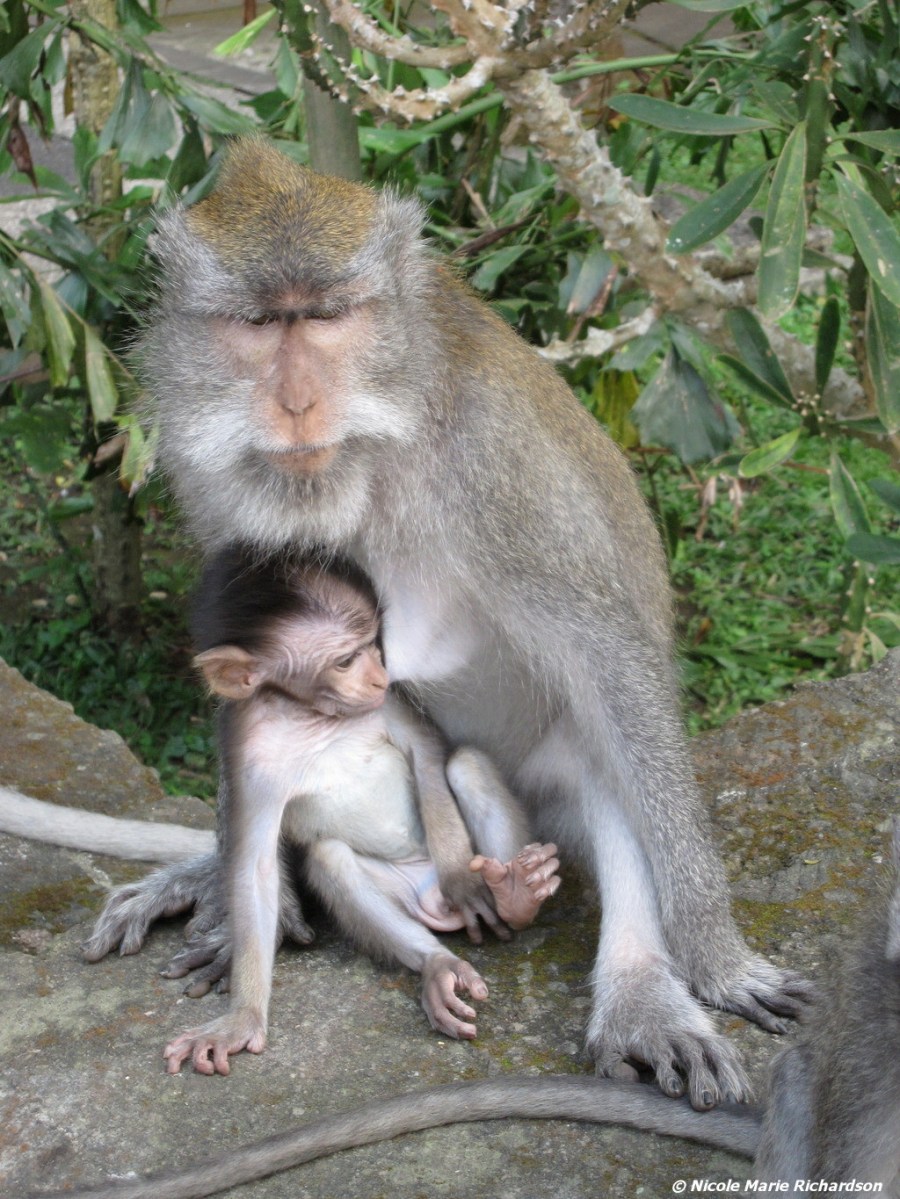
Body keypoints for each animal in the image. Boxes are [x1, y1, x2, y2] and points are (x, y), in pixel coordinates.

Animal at [163, 545, 560, 1072]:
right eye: (347, 659)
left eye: (376, 645)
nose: (380, 675)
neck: (310, 716)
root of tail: (430, 894)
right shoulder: (247, 752)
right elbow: (255, 869)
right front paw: (242, 1018)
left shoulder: (388, 703)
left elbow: (426, 757)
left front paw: (465, 884)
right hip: (403, 896)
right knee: (328, 858)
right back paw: (435, 963)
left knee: (466, 764)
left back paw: (513, 895)